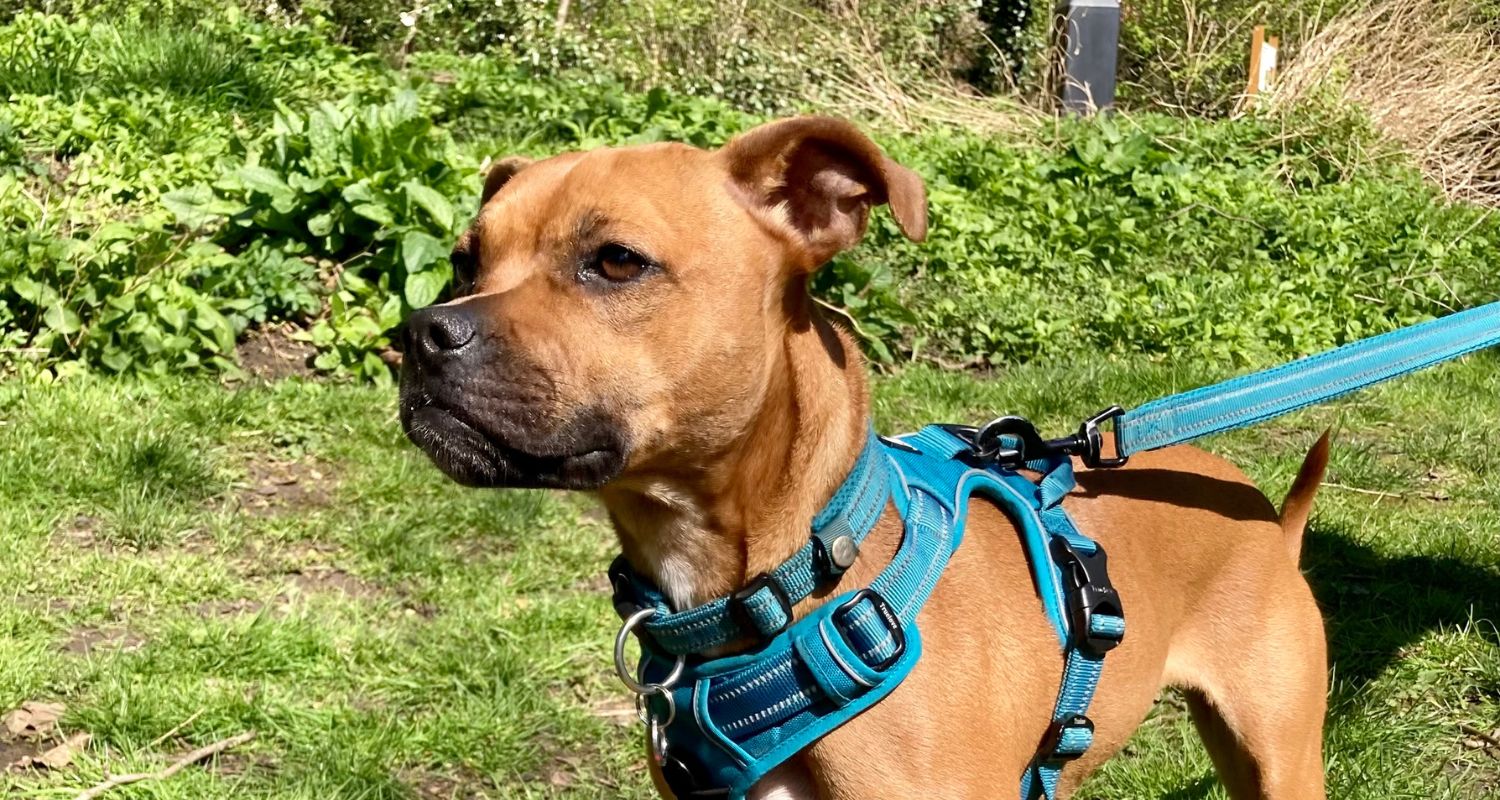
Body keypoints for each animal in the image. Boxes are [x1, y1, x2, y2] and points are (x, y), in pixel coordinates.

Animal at [399, 115, 1326, 792]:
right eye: (464, 261)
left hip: (1279, 757)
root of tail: (1268, 521)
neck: (795, 583)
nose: (418, 335)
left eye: (617, 261)